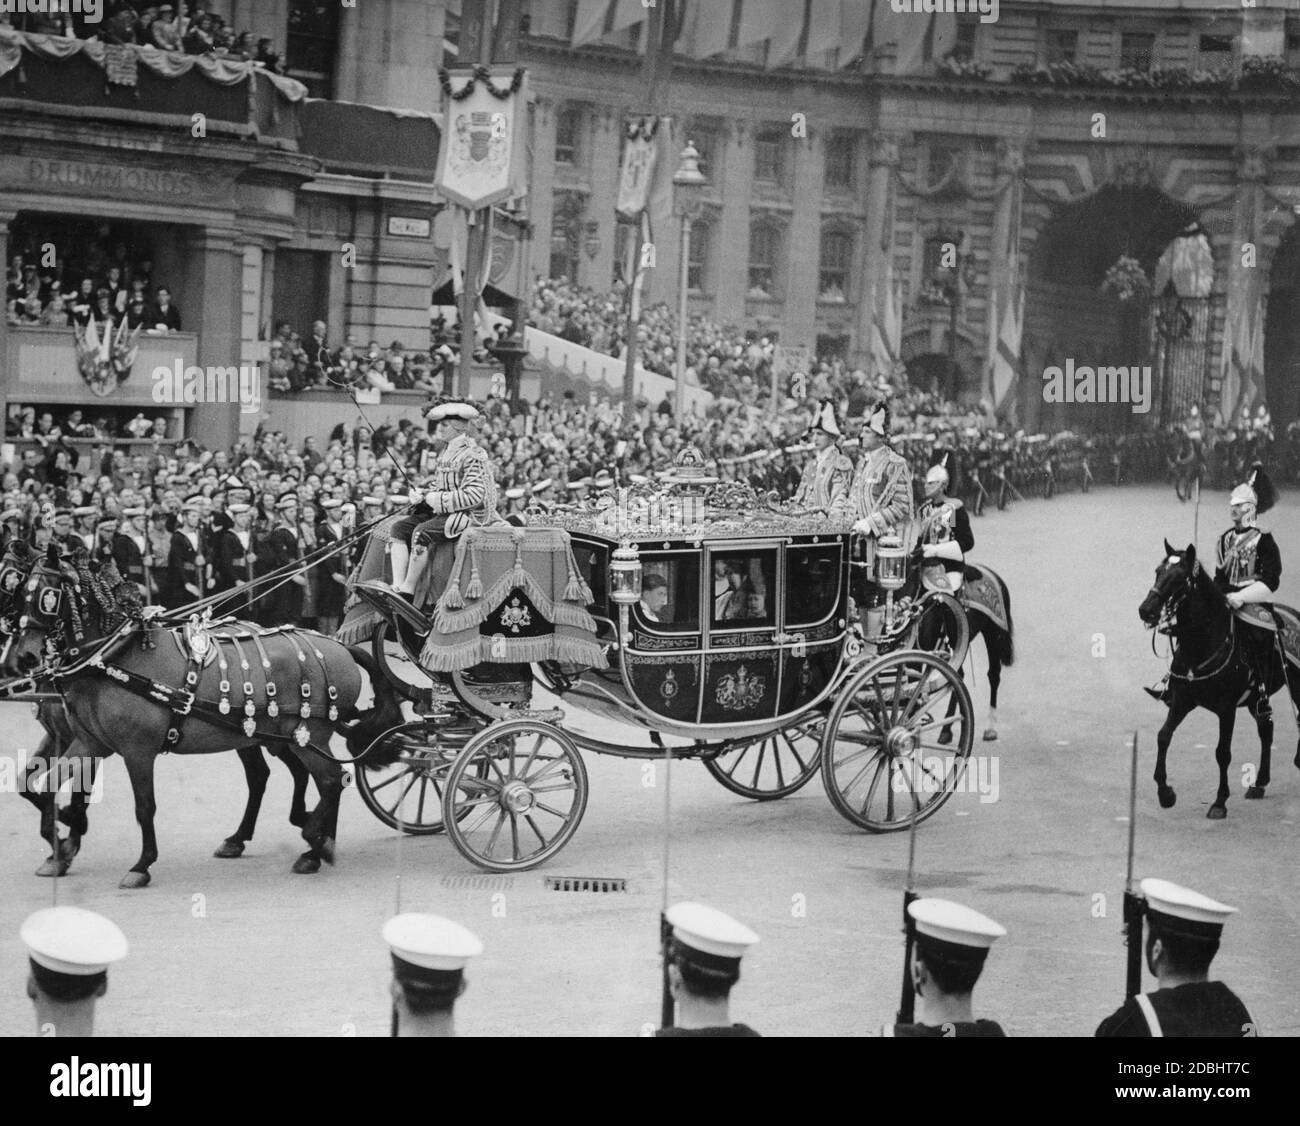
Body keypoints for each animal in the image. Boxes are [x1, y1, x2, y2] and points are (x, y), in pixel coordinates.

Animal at [3, 546, 400, 884]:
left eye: (46, 595)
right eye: (18, 593)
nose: (23, 657)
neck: (113, 656)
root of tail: (339, 646)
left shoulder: (136, 751)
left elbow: (143, 806)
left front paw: (140, 864)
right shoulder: (89, 743)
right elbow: (44, 786)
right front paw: (63, 841)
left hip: (307, 736)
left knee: (331, 780)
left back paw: (314, 843)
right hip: (276, 737)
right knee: (299, 778)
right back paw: (308, 842)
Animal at [1138, 538, 1300, 816]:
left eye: (1179, 578)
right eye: (1158, 571)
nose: (1146, 610)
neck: (1202, 644)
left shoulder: (1227, 709)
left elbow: (1222, 752)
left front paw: (1219, 802)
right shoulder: (1182, 701)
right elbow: (1163, 736)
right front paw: (1165, 793)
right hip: (1257, 701)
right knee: (1266, 730)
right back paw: (1259, 784)